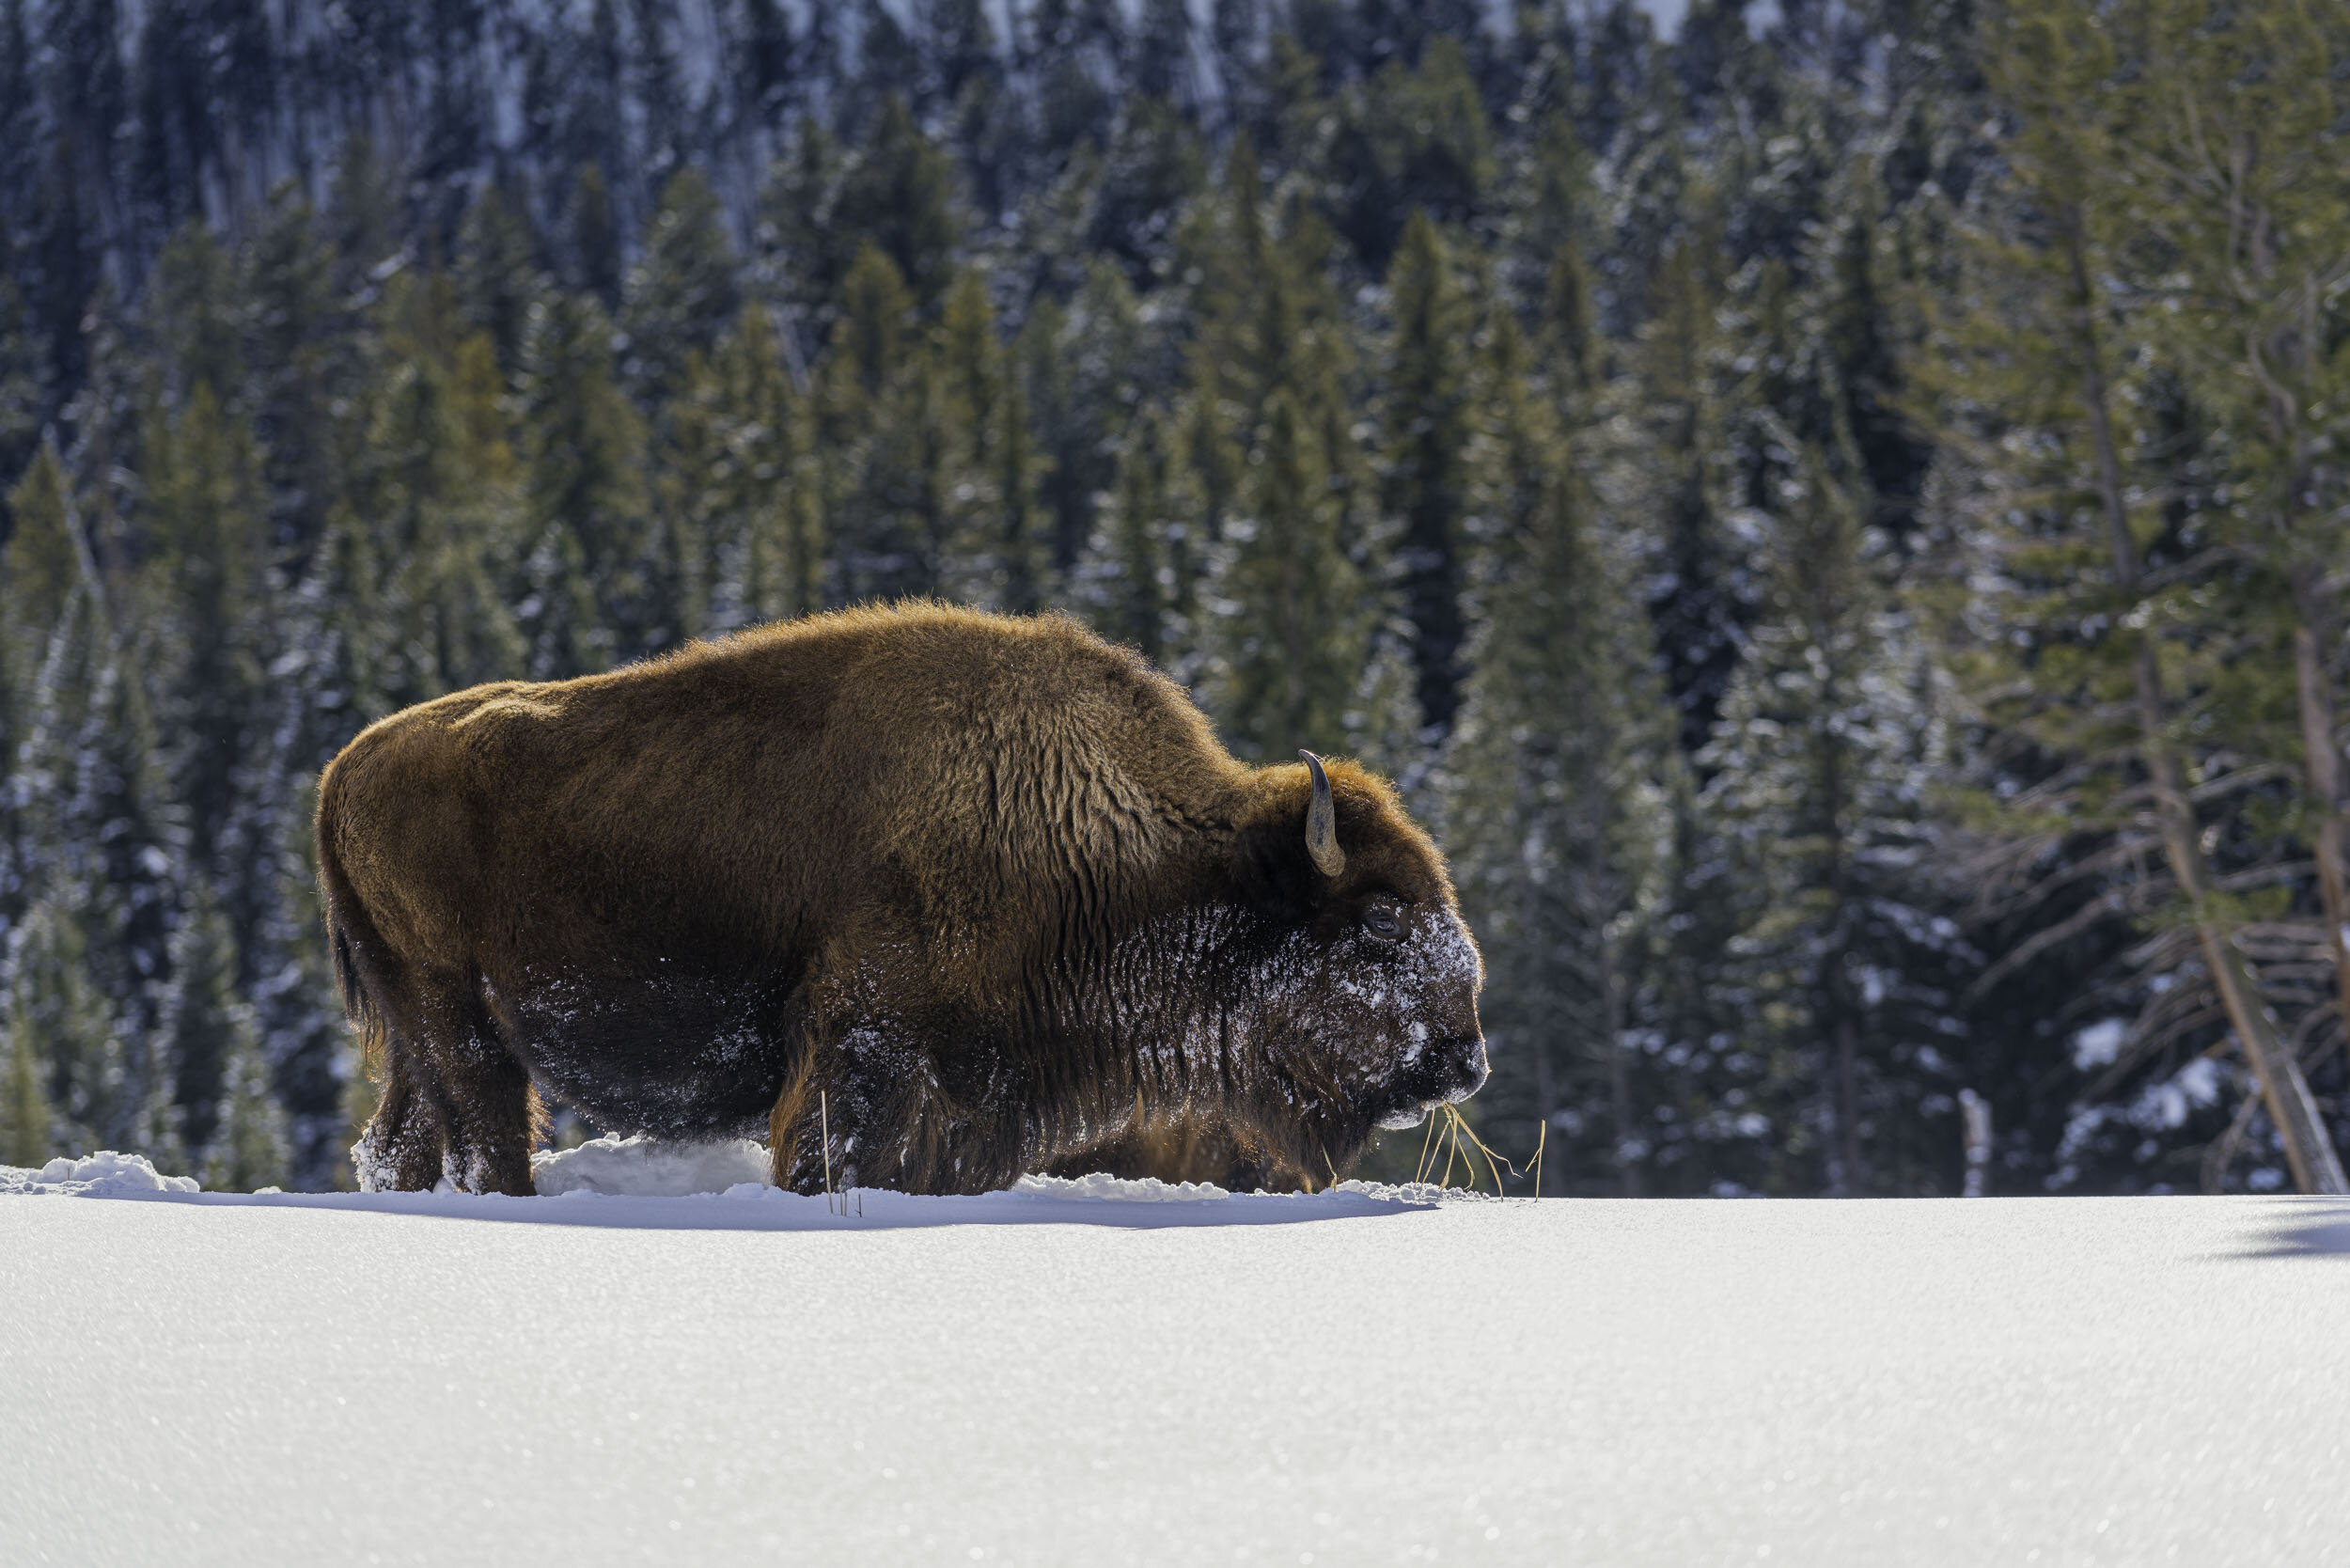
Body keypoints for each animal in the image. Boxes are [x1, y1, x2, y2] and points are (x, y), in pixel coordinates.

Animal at [317, 604, 1487, 1196]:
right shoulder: (866, 1045)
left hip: (423, 1039)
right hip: (461, 1024)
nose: (1464, 1060)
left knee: (402, 1145)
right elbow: (829, 1154)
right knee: (486, 1144)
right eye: (1380, 918)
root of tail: (343, 769)